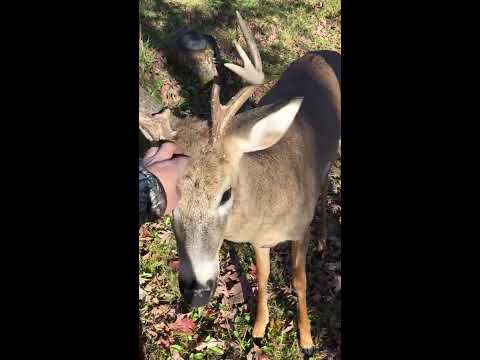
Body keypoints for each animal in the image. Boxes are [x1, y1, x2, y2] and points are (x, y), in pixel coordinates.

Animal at [140, 10, 342, 354]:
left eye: (225, 194)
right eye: (171, 204)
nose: (197, 292)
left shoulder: (298, 230)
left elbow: (299, 282)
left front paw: (307, 341)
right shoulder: (259, 241)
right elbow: (262, 277)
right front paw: (259, 329)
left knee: (327, 180)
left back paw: (323, 240)